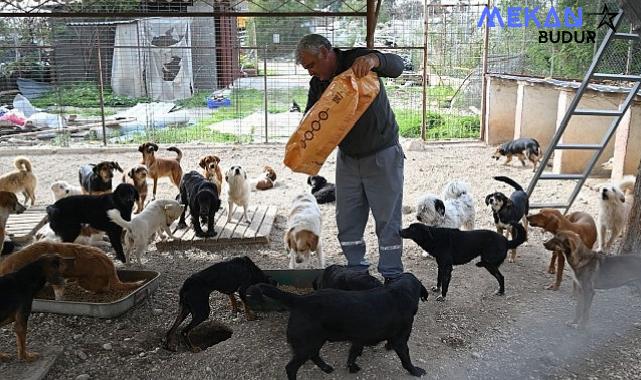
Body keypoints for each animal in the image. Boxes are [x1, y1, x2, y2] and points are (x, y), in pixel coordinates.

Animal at [248, 274, 428, 378]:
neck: (399, 292)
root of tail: (300, 300)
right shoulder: (400, 340)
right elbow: (406, 359)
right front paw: (415, 371)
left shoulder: (359, 339)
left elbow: (353, 354)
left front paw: (352, 366)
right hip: (307, 344)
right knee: (291, 368)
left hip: (314, 341)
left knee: (314, 355)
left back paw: (326, 367)